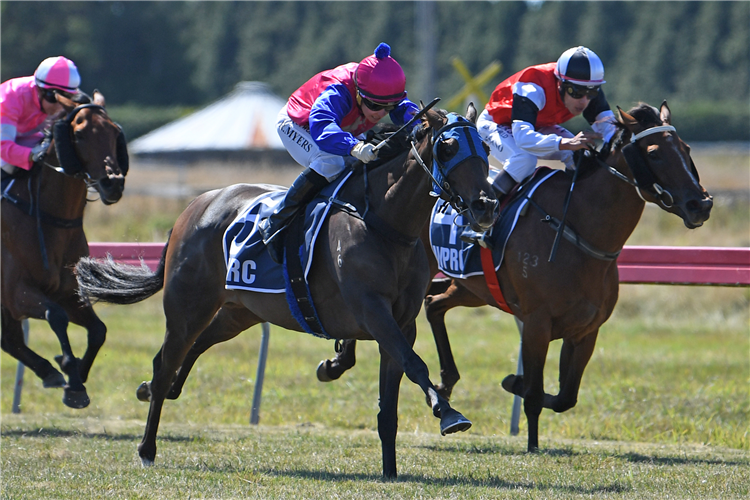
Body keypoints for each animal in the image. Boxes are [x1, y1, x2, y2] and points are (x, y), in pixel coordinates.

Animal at [0, 92, 128, 408]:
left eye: (114, 132)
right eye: (79, 134)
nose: (113, 183)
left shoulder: (67, 292)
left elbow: (98, 331)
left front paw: (76, 376)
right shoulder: (17, 292)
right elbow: (55, 316)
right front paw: (70, 373)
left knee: (10, 341)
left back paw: (47, 370)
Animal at [75, 106, 500, 476]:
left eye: (486, 147)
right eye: (448, 147)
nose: (486, 205)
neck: (385, 223)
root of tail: (193, 206)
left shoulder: (401, 322)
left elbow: (389, 404)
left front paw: (391, 471)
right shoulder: (373, 312)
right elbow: (415, 364)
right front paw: (449, 413)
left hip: (240, 310)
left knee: (196, 347)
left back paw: (152, 391)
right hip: (187, 305)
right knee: (165, 363)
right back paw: (147, 446)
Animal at [318, 101, 716, 454]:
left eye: (686, 149)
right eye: (655, 153)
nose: (700, 204)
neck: (579, 229)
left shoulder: (587, 329)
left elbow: (566, 396)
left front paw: (514, 382)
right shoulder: (537, 322)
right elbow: (536, 394)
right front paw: (531, 436)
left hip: (471, 288)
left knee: (434, 305)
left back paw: (440, 379)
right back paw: (342, 362)